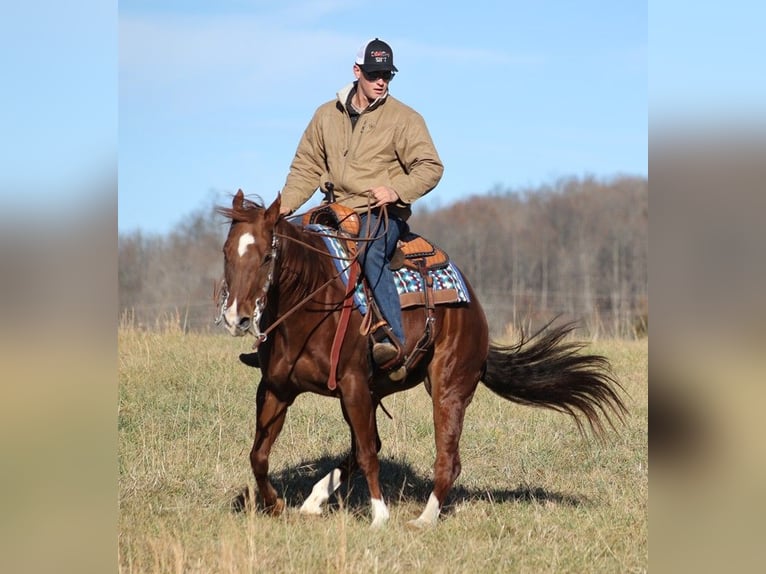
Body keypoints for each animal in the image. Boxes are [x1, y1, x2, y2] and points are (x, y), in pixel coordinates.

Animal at [214, 192, 624, 532]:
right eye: (226, 252)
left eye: (267, 255)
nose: (237, 318)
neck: (312, 302)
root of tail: (474, 307)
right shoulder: (276, 388)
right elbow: (259, 455)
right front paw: (275, 505)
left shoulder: (352, 385)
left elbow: (367, 453)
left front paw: (380, 515)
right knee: (372, 445)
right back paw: (314, 502)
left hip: (447, 388)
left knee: (446, 458)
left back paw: (425, 518)